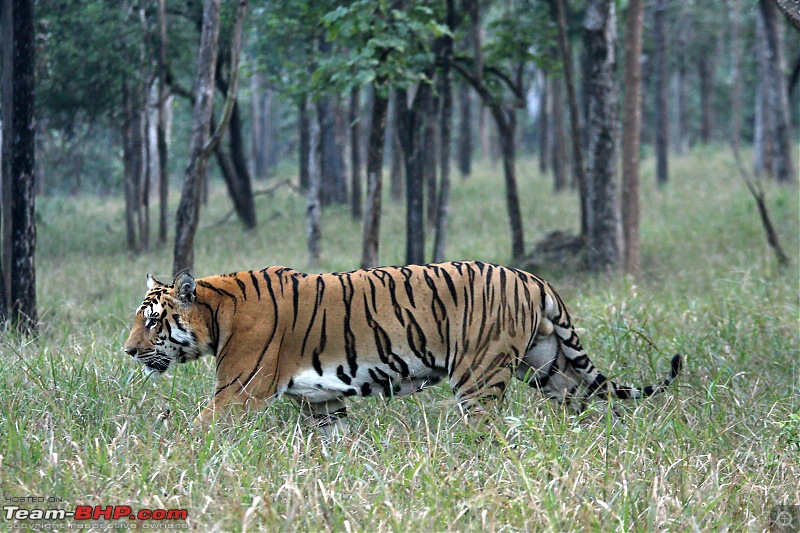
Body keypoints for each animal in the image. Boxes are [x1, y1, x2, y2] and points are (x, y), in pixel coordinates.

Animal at [123, 260, 680, 432]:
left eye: (152, 322)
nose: (127, 352)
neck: (218, 313)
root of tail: (533, 277)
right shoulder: (322, 402)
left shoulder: (237, 392)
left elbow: (195, 433)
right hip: (551, 369)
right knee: (587, 409)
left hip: (479, 378)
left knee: (488, 433)